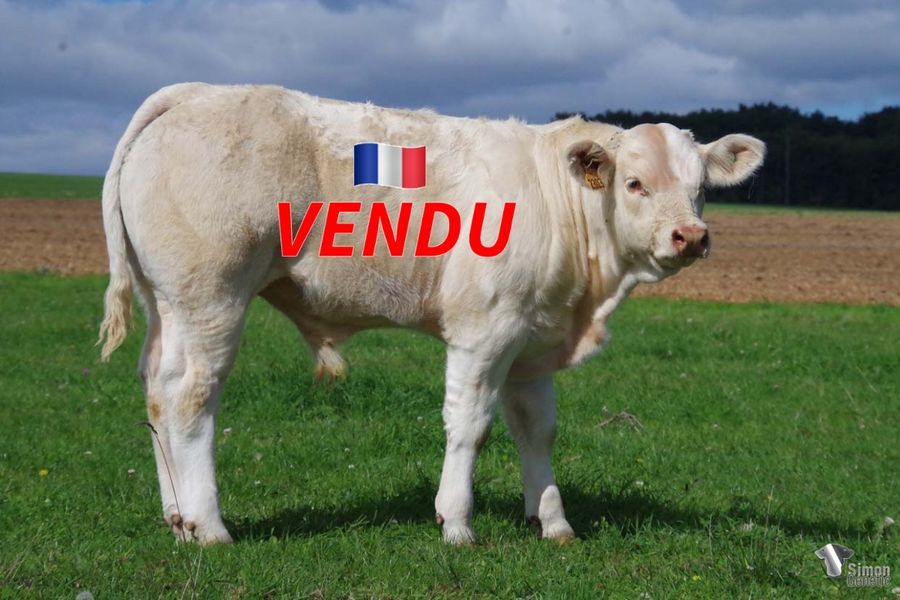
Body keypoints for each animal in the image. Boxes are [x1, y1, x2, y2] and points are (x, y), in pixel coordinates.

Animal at [98, 83, 765, 545]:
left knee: (156, 391)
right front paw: (457, 524)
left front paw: (552, 521)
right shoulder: (485, 332)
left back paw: (176, 517)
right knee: (190, 400)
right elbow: (470, 426)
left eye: (701, 187)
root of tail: (195, 92)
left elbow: (537, 430)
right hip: (210, 300)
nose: (690, 237)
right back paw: (209, 526)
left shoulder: (532, 341)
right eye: (633, 184)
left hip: (168, 305)